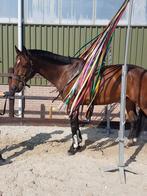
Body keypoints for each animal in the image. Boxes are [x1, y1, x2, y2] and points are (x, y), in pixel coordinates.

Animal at [8, 46, 146, 155]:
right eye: (15, 64)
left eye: (24, 64)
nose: (14, 87)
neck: (67, 73)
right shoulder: (76, 104)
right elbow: (77, 125)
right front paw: (78, 144)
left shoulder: (72, 104)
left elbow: (73, 125)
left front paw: (73, 148)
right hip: (129, 101)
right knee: (134, 119)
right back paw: (130, 141)